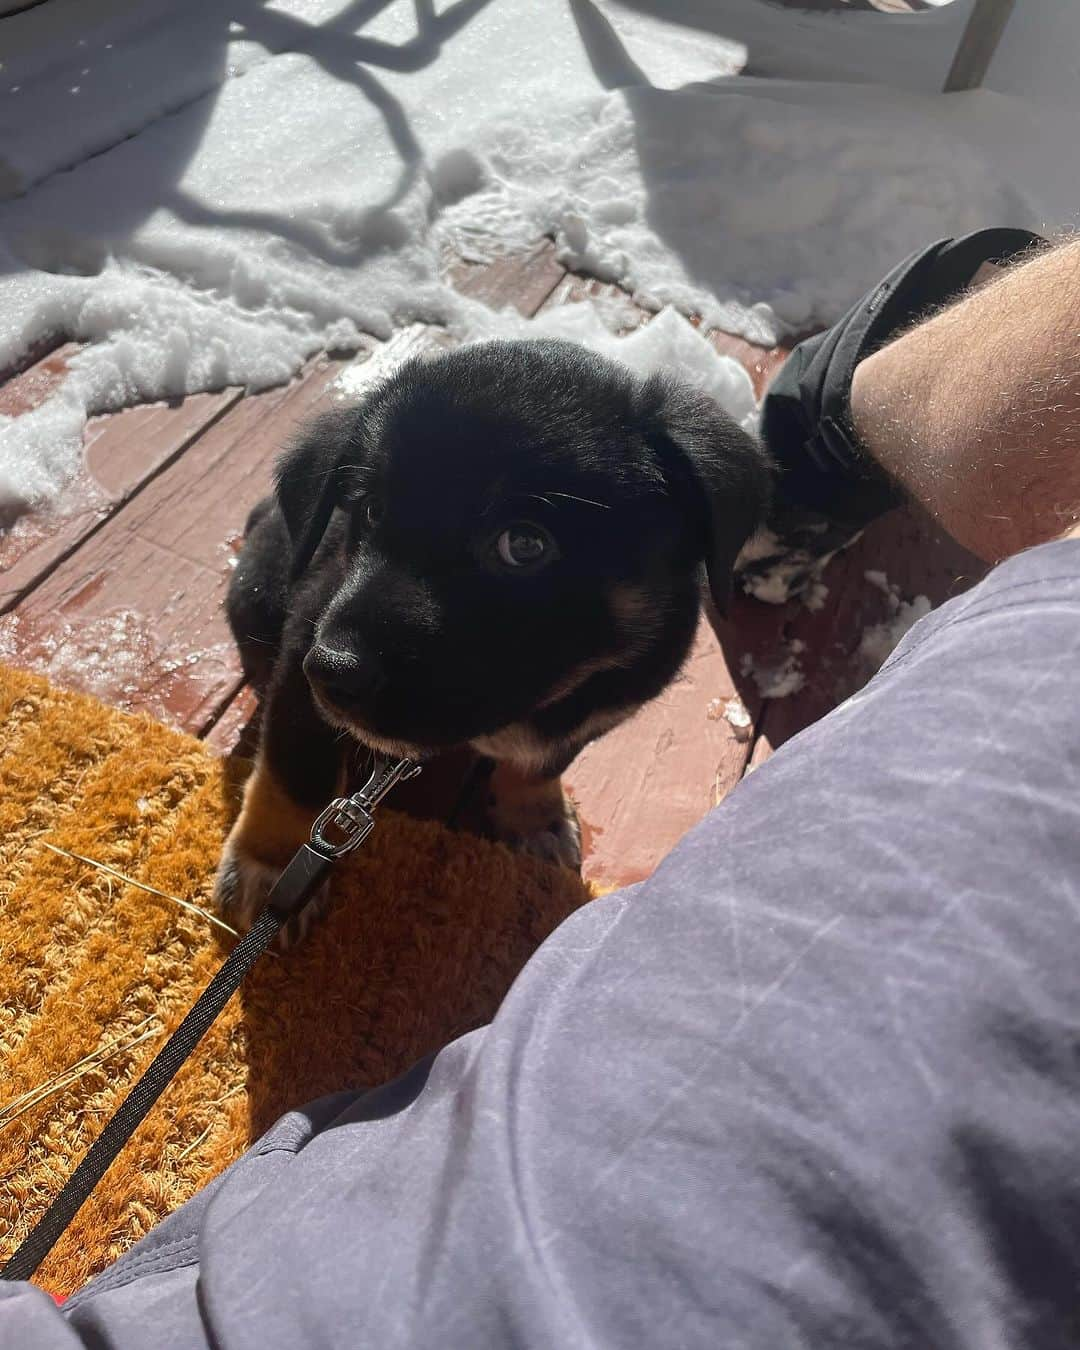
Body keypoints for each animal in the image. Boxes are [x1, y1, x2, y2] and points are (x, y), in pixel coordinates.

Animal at [213, 337, 766, 939]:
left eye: (524, 544)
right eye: (371, 511)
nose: (333, 672)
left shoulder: (600, 706)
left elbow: (543, 760)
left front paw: (535, 816)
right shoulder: (303, 640)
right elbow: (295, 764)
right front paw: (270, 863)